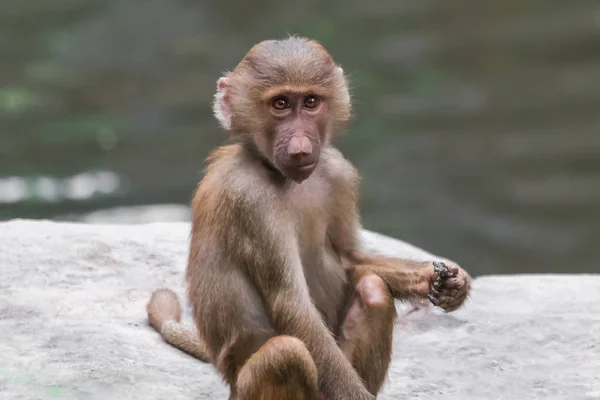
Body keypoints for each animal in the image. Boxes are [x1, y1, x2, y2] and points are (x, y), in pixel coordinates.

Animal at [144, 37, 468, 400]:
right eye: (280, 104)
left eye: (311, 102)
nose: (300, 146)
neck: (278, 173)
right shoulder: (249, 200)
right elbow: (293, 307)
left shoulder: (339, 173)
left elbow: (350, 257)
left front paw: (445, 281)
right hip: (249, 388)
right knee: (286, 354)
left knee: (373, 290)